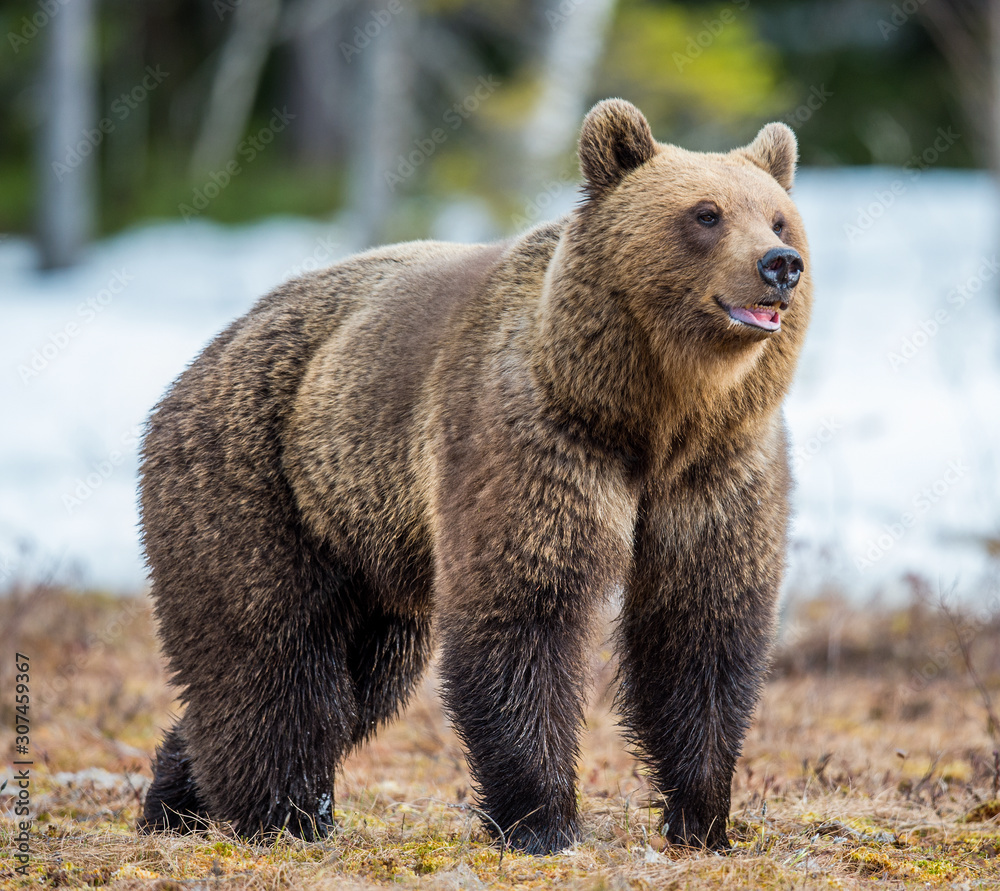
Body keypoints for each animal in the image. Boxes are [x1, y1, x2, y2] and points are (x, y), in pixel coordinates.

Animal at [137, 98, 811, 854]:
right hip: (255, 475)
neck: (646, 417)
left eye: (777, 217)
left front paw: (703, 817)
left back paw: (176, 798)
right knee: (269, 651)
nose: (780, 264)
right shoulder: (534, 443)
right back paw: (285, 814)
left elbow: (700, 626)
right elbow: (523, 611)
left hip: (366, 549)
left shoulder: (718, 472)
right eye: (705, 213)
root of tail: (204, 354)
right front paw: (541, 821)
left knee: (360, 675)